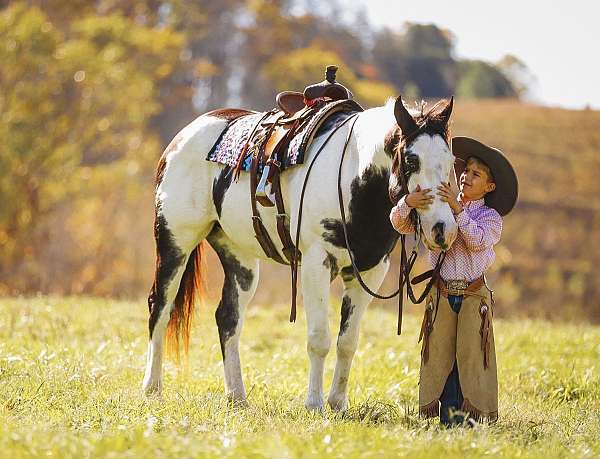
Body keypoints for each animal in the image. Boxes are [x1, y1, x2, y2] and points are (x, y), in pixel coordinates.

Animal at [143, 95, 458, 412]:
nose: (443, 229)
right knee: (161, 307)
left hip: (240, 259)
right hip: (175, 241)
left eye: (451, 161)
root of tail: (182, 137)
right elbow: (319, 338)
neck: (354, 179)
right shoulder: (316, 263)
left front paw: (337, 403)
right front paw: (315, 403)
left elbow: (348, 342)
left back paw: (237, 396)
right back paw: (152, 388)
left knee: (228, 317)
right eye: (411, 160)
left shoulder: (370, 271)